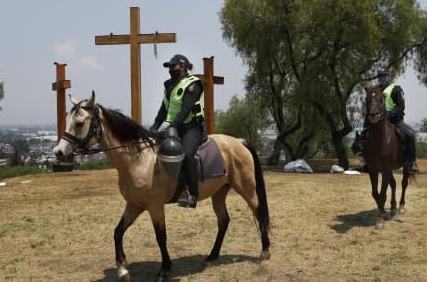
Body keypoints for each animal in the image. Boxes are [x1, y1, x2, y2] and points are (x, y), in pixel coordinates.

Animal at [51, 91, 270, 280]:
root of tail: (238, 142)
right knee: (224, 221)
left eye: (80, 123)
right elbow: (118, 232)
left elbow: (161, 236)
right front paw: (122, 269)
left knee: (258, 212)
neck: (139, 159)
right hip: (219, 193)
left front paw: (165, 269)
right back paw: (211, 257)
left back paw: (265, 251)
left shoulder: (154, 206)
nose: (59, 152)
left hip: (247, 188)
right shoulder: (134, 205)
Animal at [362, 87, 412, 230]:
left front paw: (380, 220)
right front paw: (383, 212)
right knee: (394, 184)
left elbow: (383, 193)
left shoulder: (385, 170)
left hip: (406, 166)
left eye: (380, 98)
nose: (373, 114)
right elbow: (376, 193)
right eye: (367, 98)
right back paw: (393, 208)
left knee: (404, 184)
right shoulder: (373, 170)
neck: (380, 141)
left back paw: (401, 207)